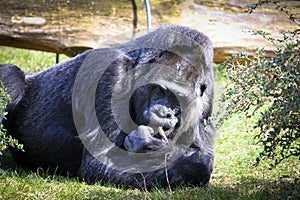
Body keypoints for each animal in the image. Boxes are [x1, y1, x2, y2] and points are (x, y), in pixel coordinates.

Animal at [0, 25, 216, 189]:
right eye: (159, 91)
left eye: (180, 100)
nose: (164, 114)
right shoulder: (111, 69)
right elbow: (99, 163)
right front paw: (185, 160)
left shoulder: (208, 97)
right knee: (12, 77)